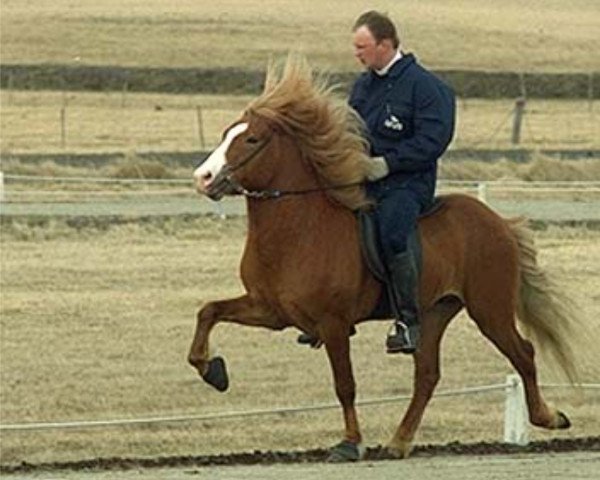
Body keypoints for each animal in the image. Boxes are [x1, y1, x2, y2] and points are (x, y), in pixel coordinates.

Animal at [190, 57, 580, 462]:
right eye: (225, 134)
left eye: (251, 139)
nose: (203, 177)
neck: (298, 230)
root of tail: (498, 221)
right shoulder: (270, 311)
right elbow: (208, 311)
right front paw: (211, 369)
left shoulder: (333, 323)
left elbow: (344, 385)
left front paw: (350, 443)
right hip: (434, 312)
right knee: (427, 375)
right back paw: (399, 441)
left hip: (490, 309)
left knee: (523, 353)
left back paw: (548, 417)